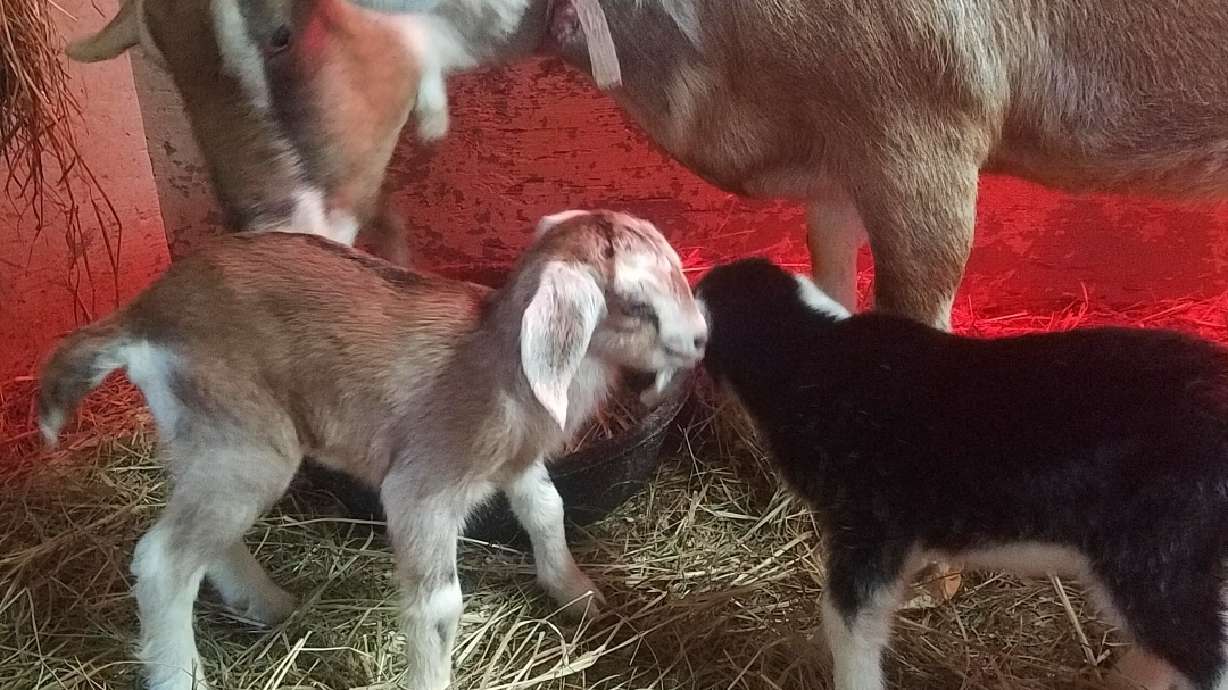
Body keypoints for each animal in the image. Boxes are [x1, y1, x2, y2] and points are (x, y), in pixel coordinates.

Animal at [38, 209, 708, 690]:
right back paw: (183, 673)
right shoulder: (422, 490)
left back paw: (267, 603)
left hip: (205, 436)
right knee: (164, 561)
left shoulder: (517, 463)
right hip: (247, 445)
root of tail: (142, 316)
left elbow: (547, 510)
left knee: (201, 536)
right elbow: (439, 606)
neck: (501, 360)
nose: (702, 339)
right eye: (637, 305)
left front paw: (577, 592)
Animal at [67, 0, 1228, 330]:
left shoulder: (921, 129)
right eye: (157, 46)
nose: (259, 226)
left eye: (278, 34)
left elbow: (915, 303)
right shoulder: (842, 137)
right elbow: (829, 261)